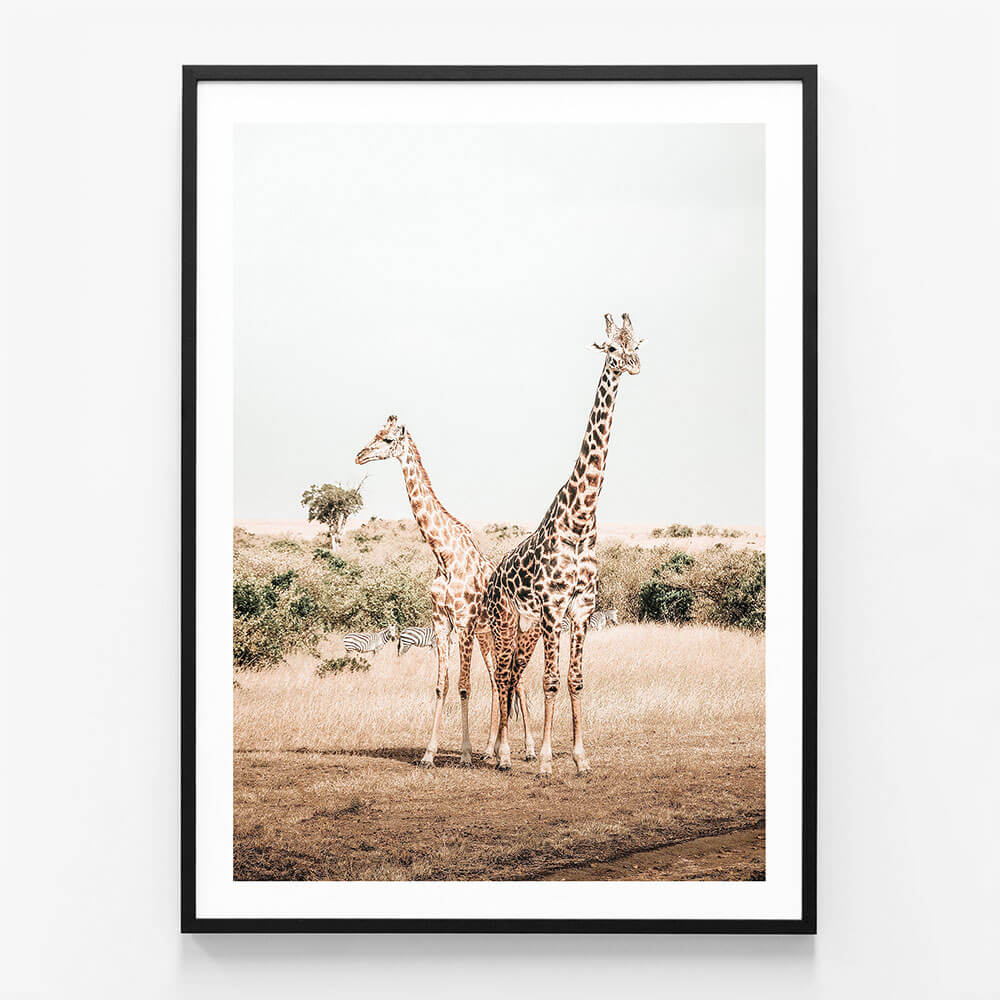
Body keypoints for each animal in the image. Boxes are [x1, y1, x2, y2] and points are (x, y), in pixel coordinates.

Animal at [355, 416, 534, 766]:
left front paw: (464, 754)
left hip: (507, 631)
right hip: (487, 636)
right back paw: (491, 751)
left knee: (515, 682)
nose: (359, 456)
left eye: (386, 440)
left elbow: (464, 686)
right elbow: (442, 685)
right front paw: (429, 754)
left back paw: (526, 751)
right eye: (374, 434)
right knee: (498, 681)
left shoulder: (463, 622)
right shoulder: (442, 622)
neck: (444, 555)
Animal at [484, 313, 642, 775]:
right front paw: (546, 762)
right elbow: (551, 682)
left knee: (513, 677)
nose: (634, 363)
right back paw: (501, 755)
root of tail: (492, 576)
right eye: (611, 348)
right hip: (503, 620)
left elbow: (575, 681)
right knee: (503, 676)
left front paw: (580, 757)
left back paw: (504, 751)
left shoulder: (582, 608)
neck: (581, 517)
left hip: (526, 626)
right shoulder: (555, 608)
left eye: (635, 343)